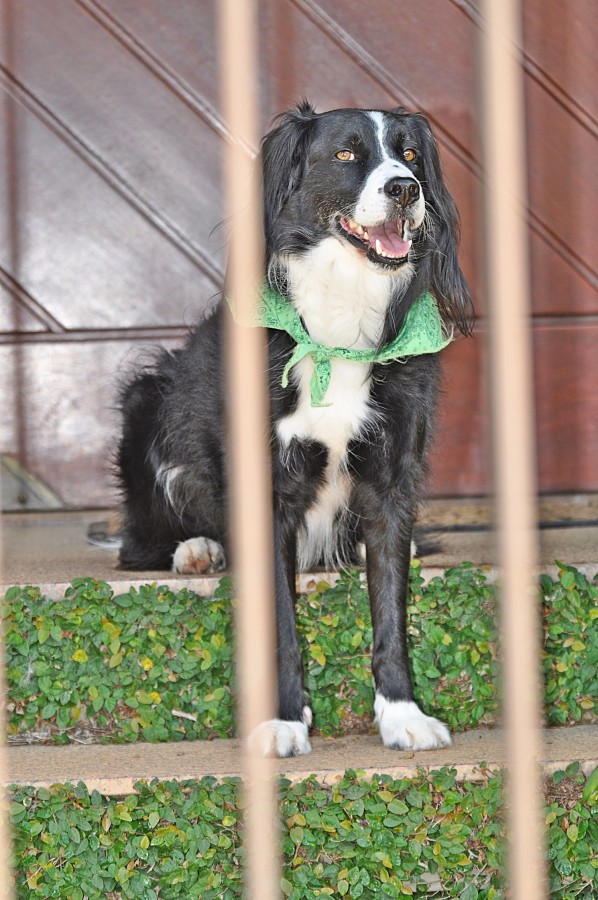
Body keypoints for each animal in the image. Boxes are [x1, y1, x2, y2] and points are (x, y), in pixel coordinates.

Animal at [116, 102, 474, 756]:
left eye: (410, 155)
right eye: (346, 153)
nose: (405, 189)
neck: (338, 327)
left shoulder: (390, 484)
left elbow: (391, 609)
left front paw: (402, 714)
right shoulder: (268, 493)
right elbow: (279, 621)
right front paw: (283, 720)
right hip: (145, 401)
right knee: (139, 541)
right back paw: (195, 549)